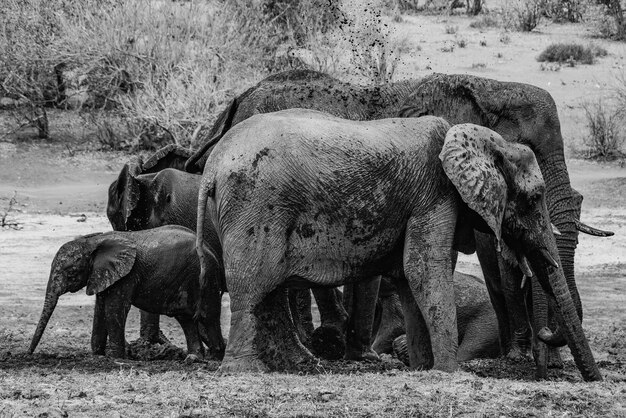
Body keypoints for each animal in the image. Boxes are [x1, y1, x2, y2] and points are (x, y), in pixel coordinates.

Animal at [29, 225, 224, 360]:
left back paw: (215, 356)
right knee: (186, 318)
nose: (29, 354)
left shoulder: (127, 275)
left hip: (206, 277)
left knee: (208, 316)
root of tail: (211, 250)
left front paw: (116, 357)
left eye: (70, 272)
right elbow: (100, 309)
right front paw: (98, 354)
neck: (95, 241)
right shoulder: (104, 274)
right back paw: (195, 357)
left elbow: (114, 308)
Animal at [184, 69, 608, 378]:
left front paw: (425, 365)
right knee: (258, 278)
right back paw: (267, 364)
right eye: (534, 197)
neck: (486, 89)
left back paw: (303, 360)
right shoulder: (435, 192)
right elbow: (431, 266)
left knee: (268, 282)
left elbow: (418, 271)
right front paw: (456, 369)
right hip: (259, 201)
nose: (589, 379)